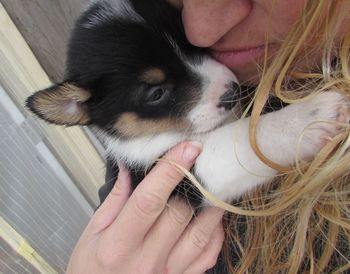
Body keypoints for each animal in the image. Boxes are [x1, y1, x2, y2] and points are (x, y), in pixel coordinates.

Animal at [26, 0, 348, 204]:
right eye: (156, 93)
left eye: (191, 45)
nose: (232, 92)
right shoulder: (178, 177)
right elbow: (239, 140)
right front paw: (309, 119)